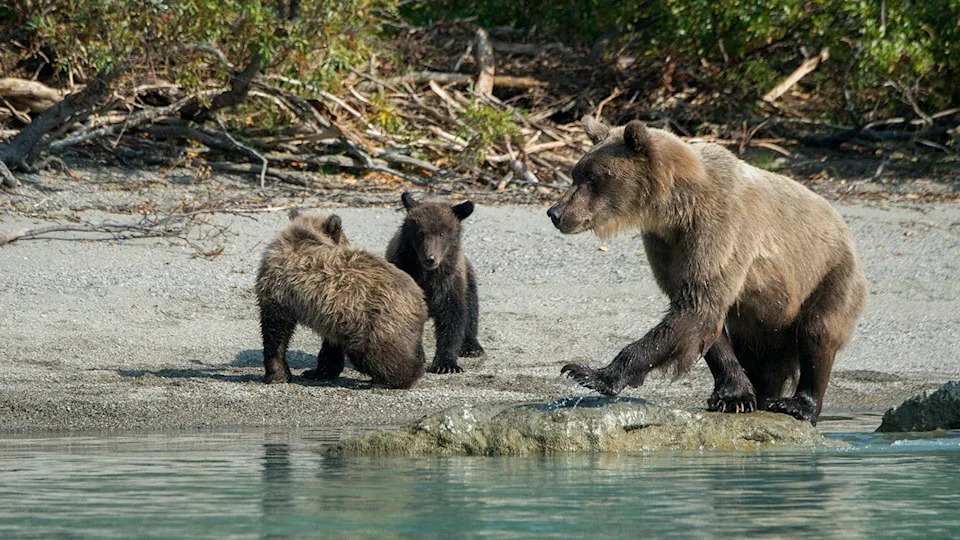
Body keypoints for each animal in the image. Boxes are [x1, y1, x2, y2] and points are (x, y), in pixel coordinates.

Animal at [255, 210, 428, 388]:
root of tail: (420, 298)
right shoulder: (335, 312)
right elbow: (331, 345)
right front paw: (320, 371)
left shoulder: (280, 291)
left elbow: (275, 331)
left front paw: (276, 374)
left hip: (376, 324)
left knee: (378, 354)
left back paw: (392, 379)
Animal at [386, 192, 484, 374]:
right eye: (420, 233)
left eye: (442, 234)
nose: (430, 258)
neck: (427, 274)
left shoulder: (448, 283)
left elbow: (452, 318)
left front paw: (446, 363)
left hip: (467, 278)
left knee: (472, 308)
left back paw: (472, 346)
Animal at [548, 116, 867, 424]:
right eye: (576, 173)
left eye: (591, 176)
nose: (555, 212)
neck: (677, 208)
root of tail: (843, 227)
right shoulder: (667, 245)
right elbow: (701, 317)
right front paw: (734, 396)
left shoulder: (719, 229)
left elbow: (696, 306)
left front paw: (588, 373)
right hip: (764, 315)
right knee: (760, 354)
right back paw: (765, 393)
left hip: (827, 275)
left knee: (817, 331)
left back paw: (798, 404)